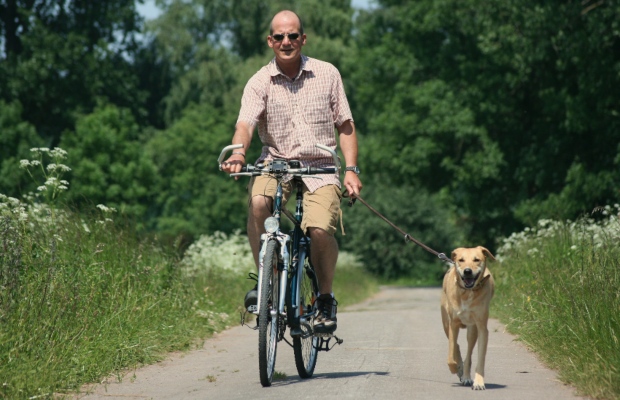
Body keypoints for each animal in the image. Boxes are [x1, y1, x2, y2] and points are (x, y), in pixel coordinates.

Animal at [438, 245, 496, 390]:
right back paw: (459, 368)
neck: (467, 292)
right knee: (455, 345)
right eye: (461, 260)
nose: (467, 271)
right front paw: (454, 367)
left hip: (472, 329)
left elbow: (480, 357)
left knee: (468, 353)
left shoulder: (481, 327)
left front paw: (479, 382)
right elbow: (451, 353)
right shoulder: (453, 324)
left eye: (476, 260)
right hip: (446, 324)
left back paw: (466, 376)